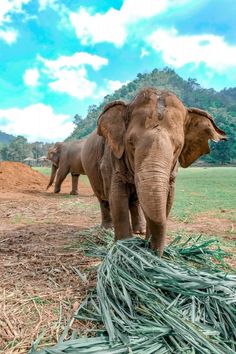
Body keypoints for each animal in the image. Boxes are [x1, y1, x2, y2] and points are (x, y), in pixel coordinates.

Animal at [81, 87, 227, 256]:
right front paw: (124, 247)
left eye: (178, 146)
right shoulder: (112, 157)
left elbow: (168, 199)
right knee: (103, 199)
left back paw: (139, 231)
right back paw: (107, 229)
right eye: (130, 143)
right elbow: (117, 197)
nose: (150, 248)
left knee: (136, 200)